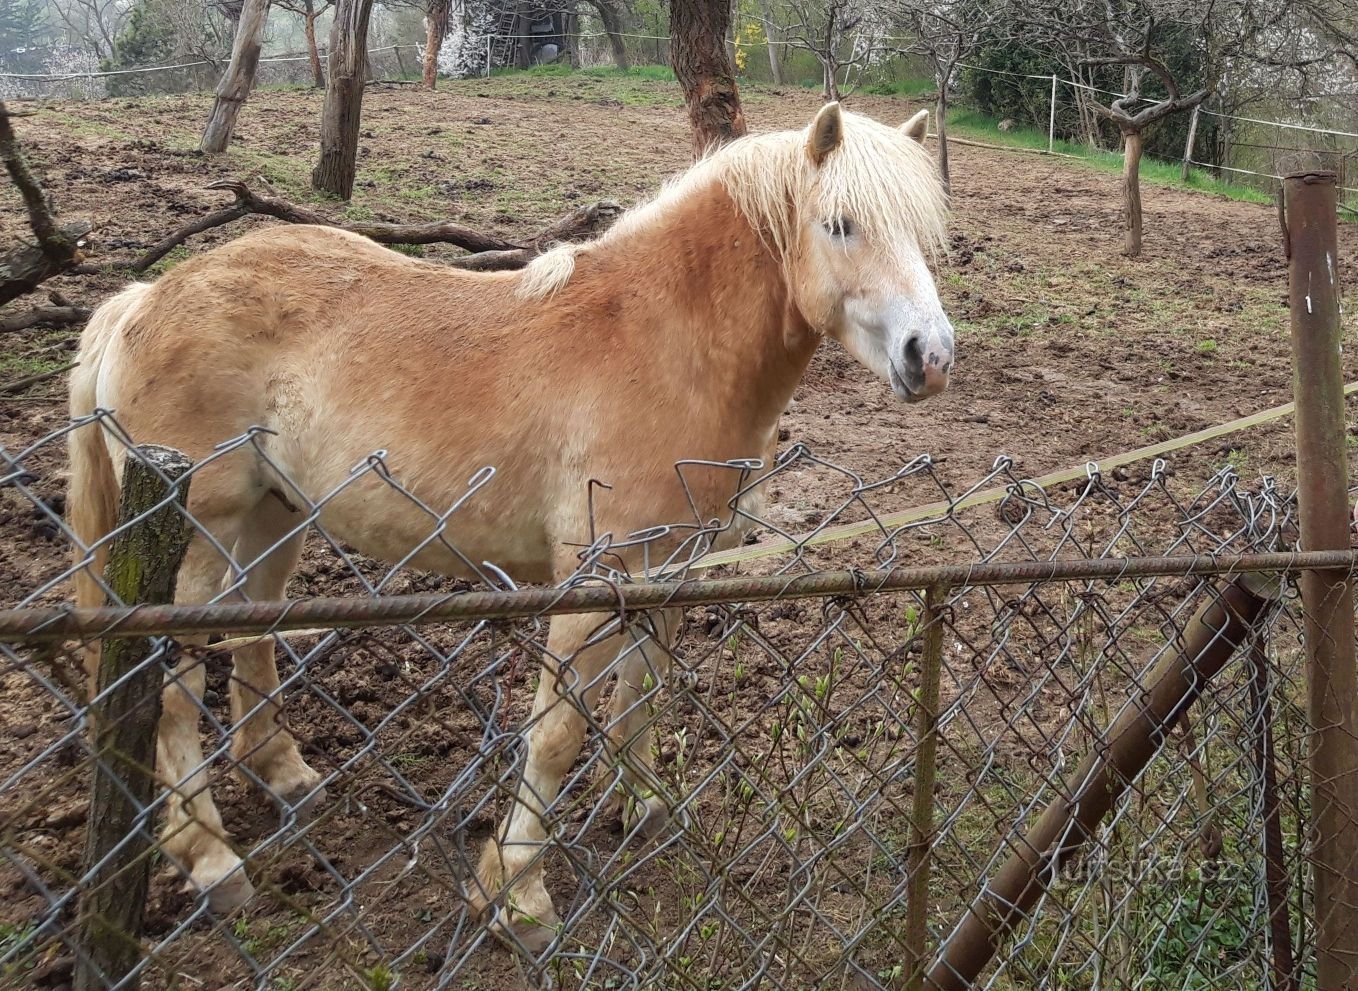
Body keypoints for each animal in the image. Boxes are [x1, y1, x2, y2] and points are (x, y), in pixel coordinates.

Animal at [66, 102, 956, 950]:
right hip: (199, 534)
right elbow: (557, 731)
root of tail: (145, 298)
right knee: (173, 686)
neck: (664, 344)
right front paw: (515, 894)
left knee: (252, 630)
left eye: (923, 230)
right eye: (839, 223)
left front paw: (645, 806)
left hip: (276, 513)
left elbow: (642, 693)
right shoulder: (594, 577)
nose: (932, 356)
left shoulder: (667, 571)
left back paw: (286, 777)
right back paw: (210, 858)